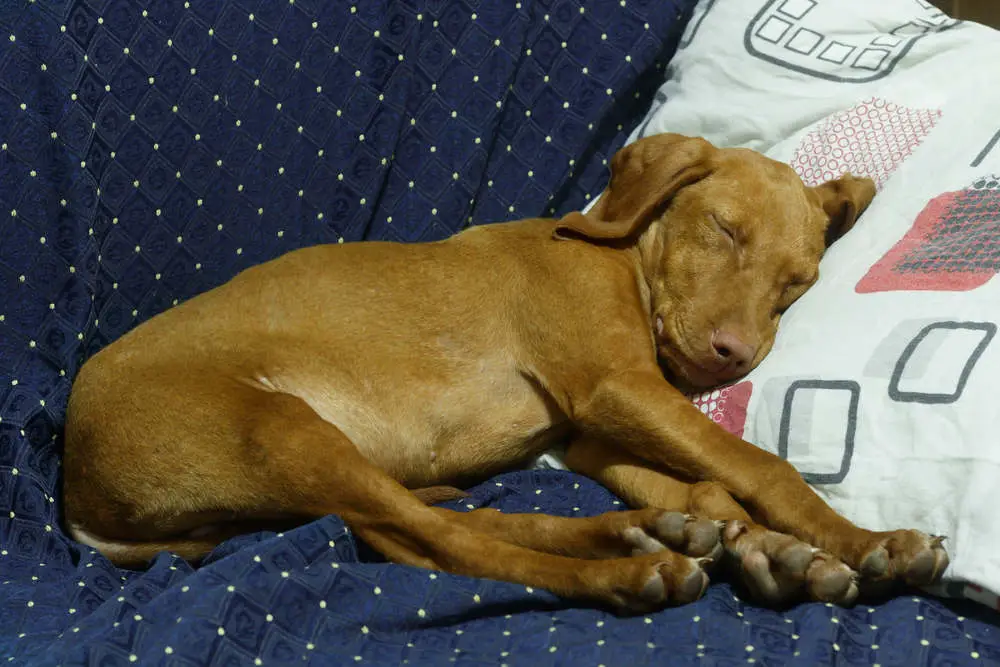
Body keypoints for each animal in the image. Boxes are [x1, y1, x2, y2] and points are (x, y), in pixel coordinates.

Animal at [60, 133, 944, 612]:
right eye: (724, 230)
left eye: (795, 283)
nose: (733, 353)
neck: (621, 256)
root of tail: (74, 488)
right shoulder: (617, 389)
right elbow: (760, 467)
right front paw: (863, 540)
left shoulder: (595, 431)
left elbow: (707, 486)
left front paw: (771, 551)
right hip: (285, 430)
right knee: (439, 544)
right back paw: (632, 568)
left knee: (463, 522)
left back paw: (644, 533)